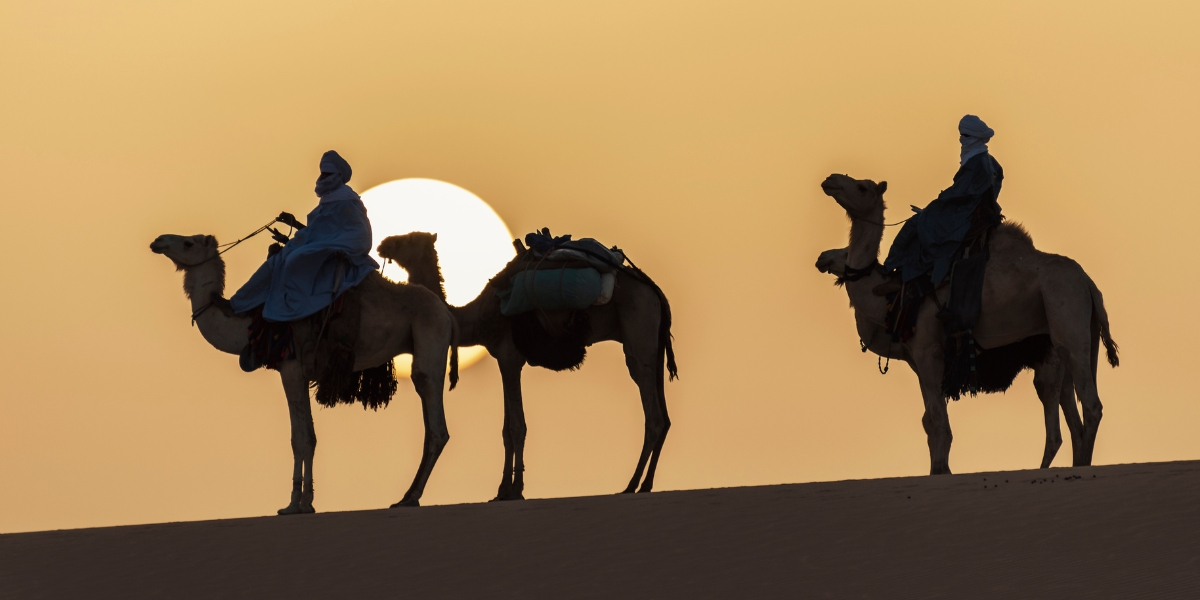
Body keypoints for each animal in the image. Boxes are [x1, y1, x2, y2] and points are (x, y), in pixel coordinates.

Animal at [151, 232, 458, 511]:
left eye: (188, 242)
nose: (158, 241)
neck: (252, 322)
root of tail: (446, 312)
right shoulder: (296, 372)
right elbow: (304, 434)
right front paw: (303, 501)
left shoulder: (290, 368)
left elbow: (301, 439)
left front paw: (296, 504)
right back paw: (407, 497)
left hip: (430, 332)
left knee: (433, 415)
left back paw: (410, 497)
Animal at [376, 231, 676, 499]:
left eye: (406, 240)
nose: (383, 244)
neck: (475, 315)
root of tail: (656, 291)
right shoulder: (505, 359)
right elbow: (507, 428)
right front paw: (501, 492)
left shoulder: (509, 357)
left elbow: (515, 427)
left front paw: (514, 490)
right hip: (653, 341)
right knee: (664, 414)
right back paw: (646, 484)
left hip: (639, 326)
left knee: (653, 414)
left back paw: (631, 485)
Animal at [816, 175, 1113, 475]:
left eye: (861, 187)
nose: (831, 180)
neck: (893, 297)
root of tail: (1089, 284)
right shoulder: (918, 361)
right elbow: (928, 420)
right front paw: (940, 468)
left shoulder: (927, 351)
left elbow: (937, 422)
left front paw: (939, 470)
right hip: (1069, 342)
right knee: (1072, 415)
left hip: (1065, 316)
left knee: (1084, 407)